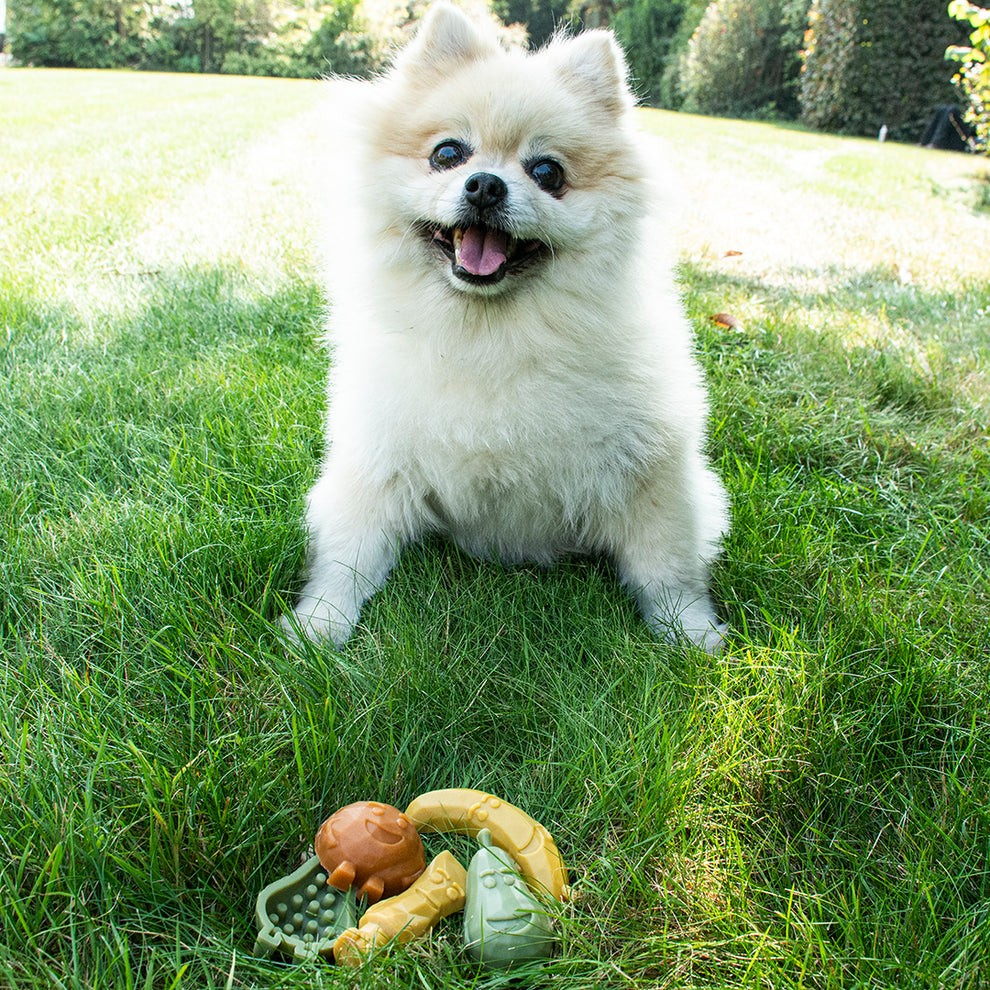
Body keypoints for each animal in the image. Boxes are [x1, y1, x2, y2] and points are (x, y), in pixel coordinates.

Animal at [284, 3, 728, 656]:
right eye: (448, 154)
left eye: (547, 172)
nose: (486, 184)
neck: (490, 335)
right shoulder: (377, 458)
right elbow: (350, 553)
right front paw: (322, 622)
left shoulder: (651, 472)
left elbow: (665, 564)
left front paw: (689, 632)